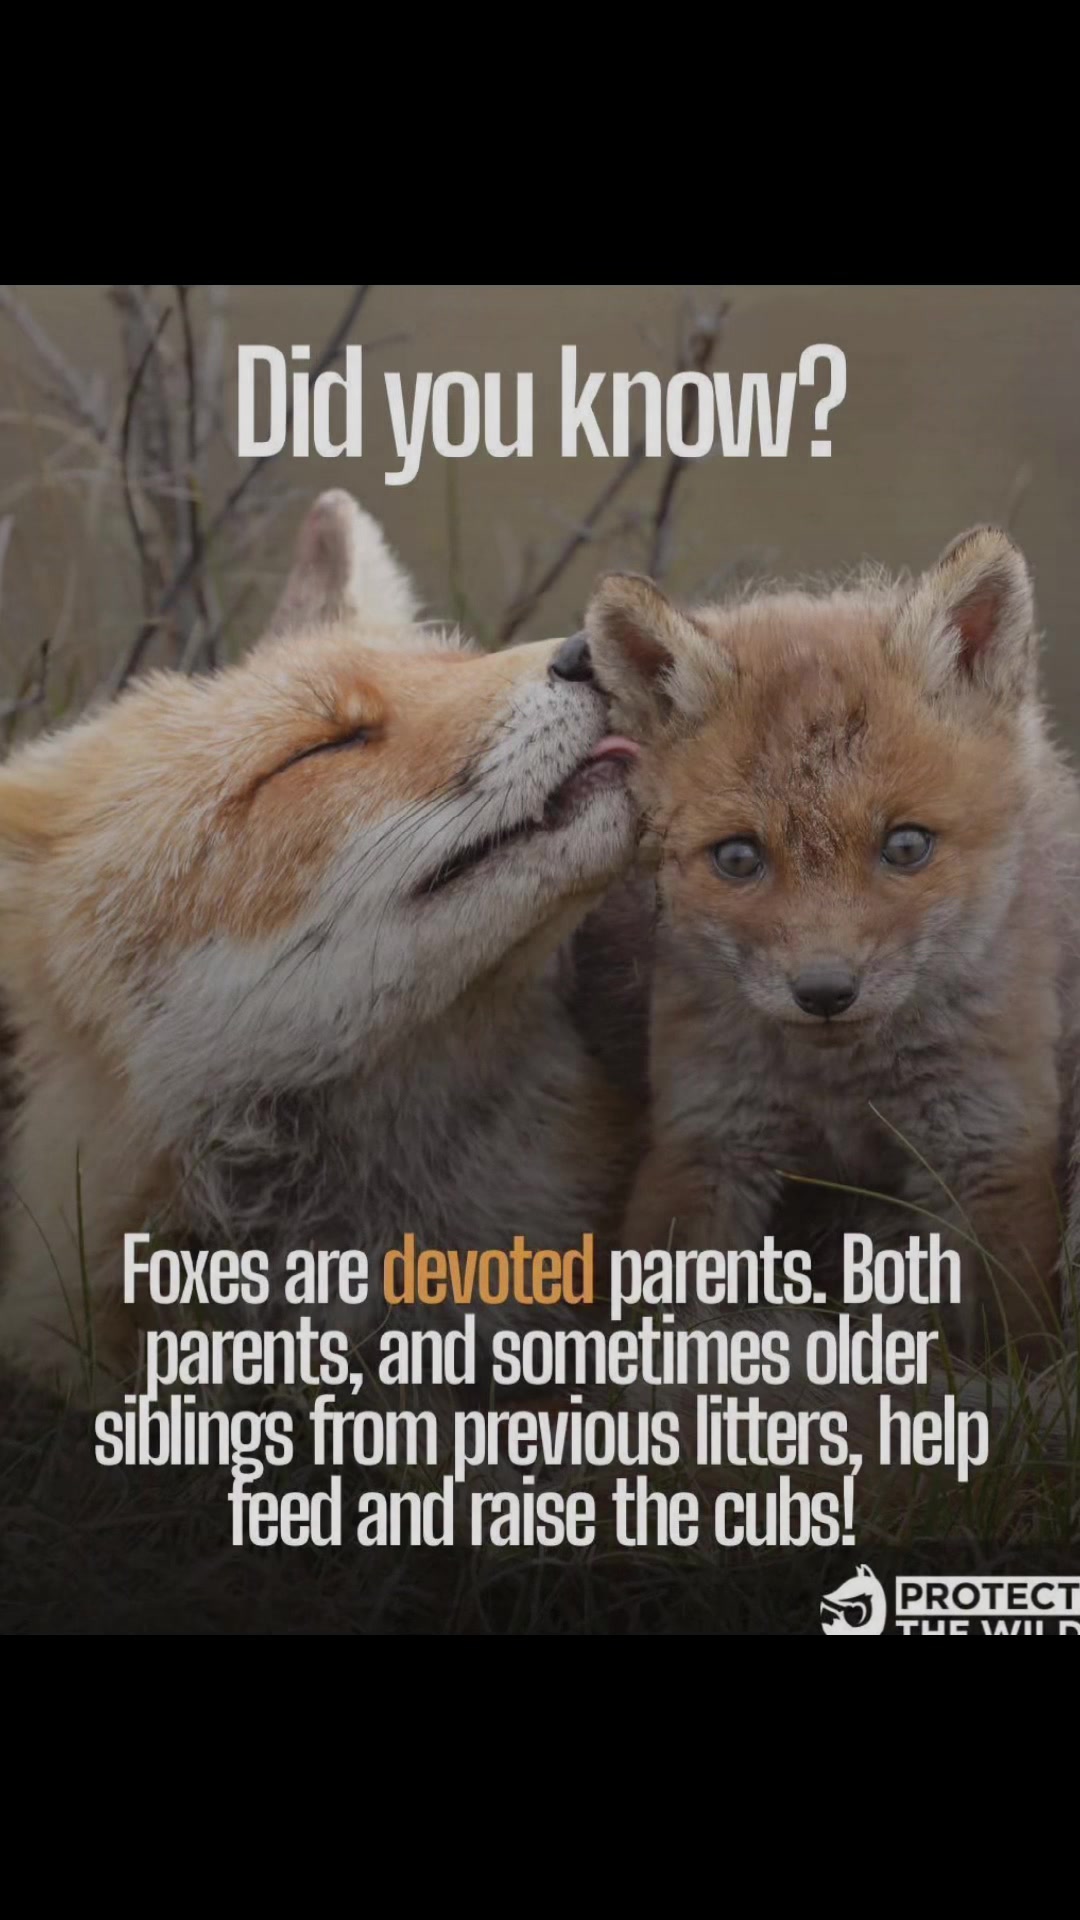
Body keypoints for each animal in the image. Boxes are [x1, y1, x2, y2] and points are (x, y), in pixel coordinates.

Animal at [582, 526, 1080, 1376]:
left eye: (906, 846)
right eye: (738, 858)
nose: (823, 992)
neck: (843, 1088)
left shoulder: (990, 1143)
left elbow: (1018, 1341)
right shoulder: (707, 1136)